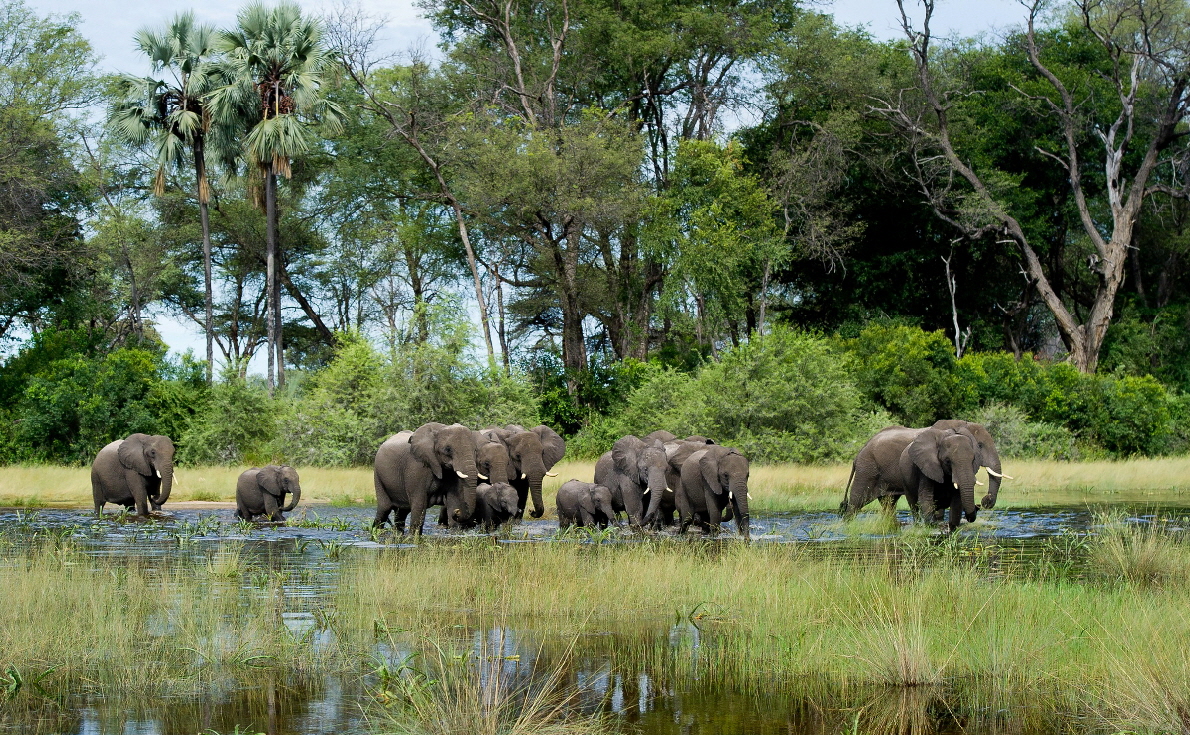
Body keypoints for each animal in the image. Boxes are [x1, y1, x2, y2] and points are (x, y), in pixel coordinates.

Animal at [842, 423, 990, 525]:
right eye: (947, 461)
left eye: (973, 459)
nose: (981, 504)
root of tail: (858, 454)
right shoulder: (926, 466)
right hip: (867, 470)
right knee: (856, 502)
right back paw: (847, 524)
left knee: (888, 503)